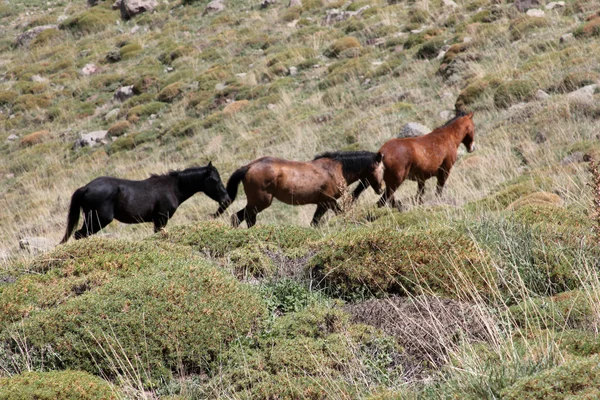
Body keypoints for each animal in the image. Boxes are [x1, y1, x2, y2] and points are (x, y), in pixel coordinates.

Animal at [61, 162, 230, 244]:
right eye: (215, 180)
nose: (226, 199)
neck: (173, 187)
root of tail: (86, 188)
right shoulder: (161, 218)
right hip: (98, 220)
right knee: (79, 234)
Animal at [214, 150, 384, 227]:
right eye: (382, 169)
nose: (381, 189)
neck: (337, 169)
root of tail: (248, 167)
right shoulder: (328, 201)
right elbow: (340, 214)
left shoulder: (322, 204)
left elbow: (314, 223)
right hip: (260, 202)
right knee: (242, 217)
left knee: (241, 218)